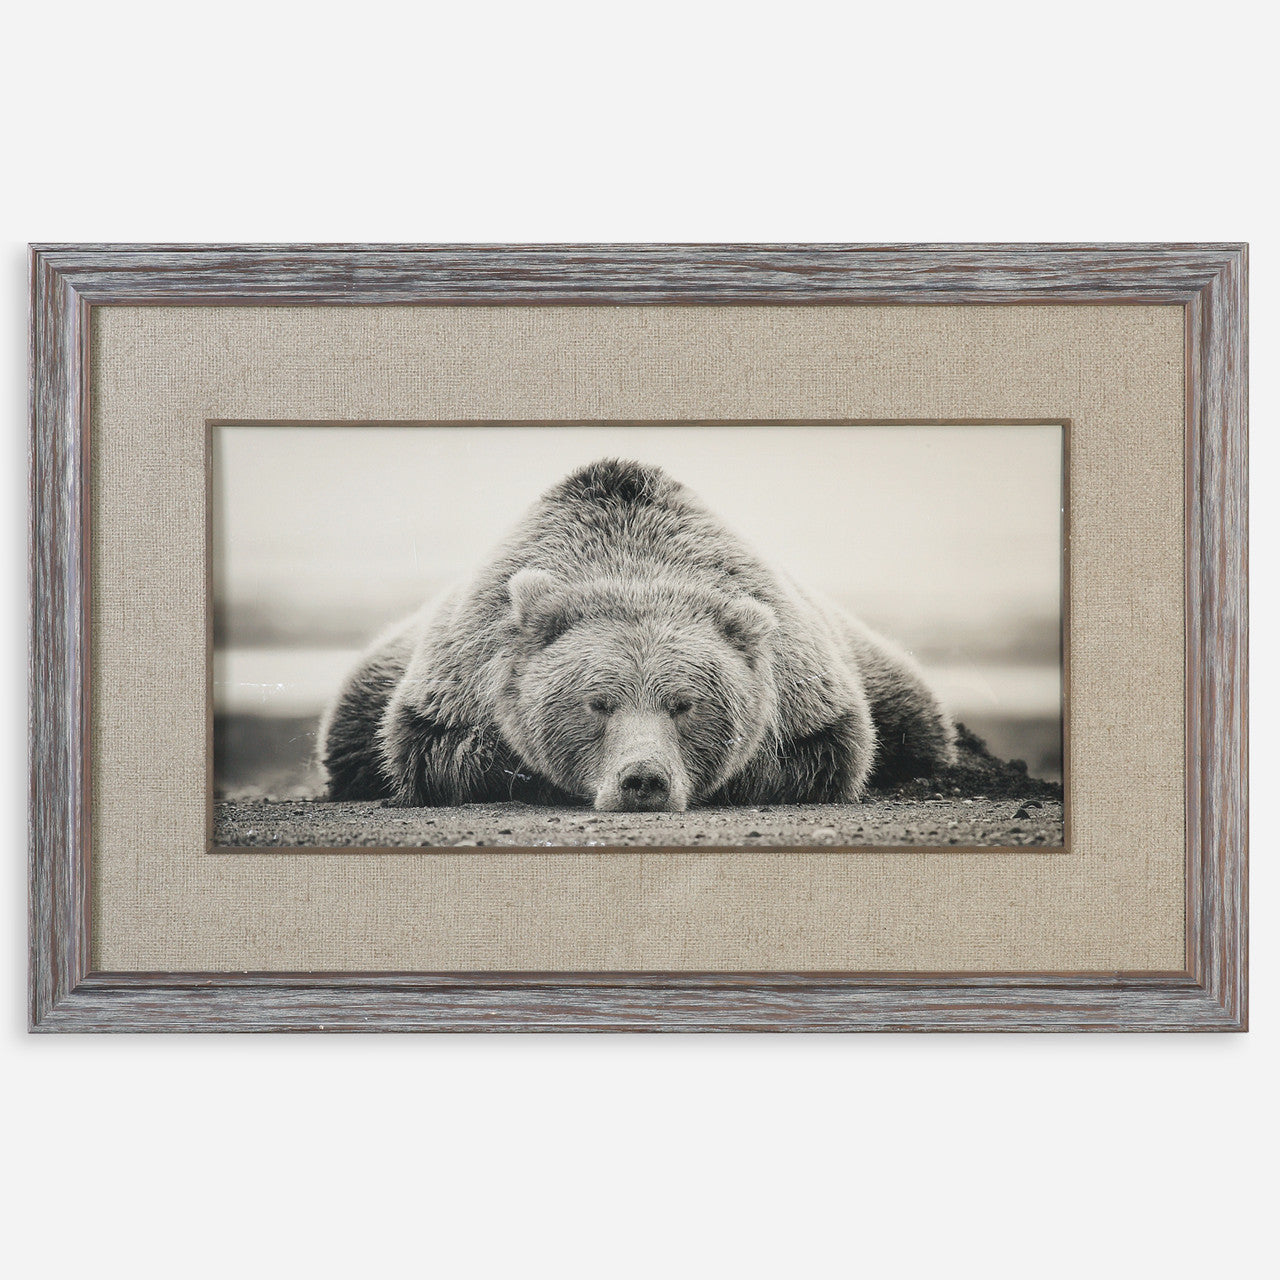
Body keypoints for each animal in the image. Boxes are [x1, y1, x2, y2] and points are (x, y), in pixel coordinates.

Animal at [318, 458, 956, 812]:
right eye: (598, 703)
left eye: (685, 704)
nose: (642, 780)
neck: (633, 562)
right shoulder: (456, 684)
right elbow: (438, 752)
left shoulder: (810, 695)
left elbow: (824, 754)